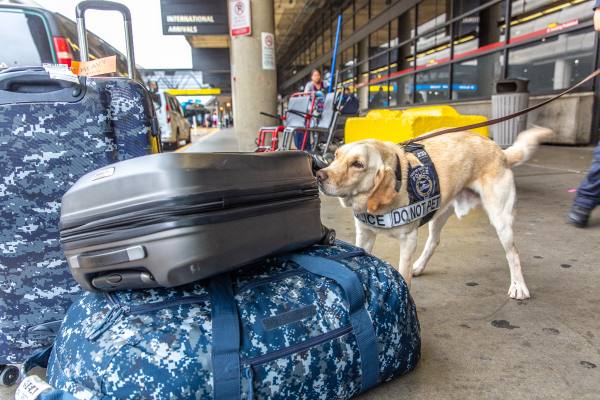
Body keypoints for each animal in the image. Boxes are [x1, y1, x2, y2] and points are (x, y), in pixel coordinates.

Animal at [316, 126, 556, 298]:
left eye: (358, 164)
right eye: (335, 156)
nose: (319, 175)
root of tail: (499, 150)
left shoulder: (408, 239)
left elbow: (403, 273)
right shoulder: (365, 235)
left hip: (501, 220)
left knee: (513, 253)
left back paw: (519, 286)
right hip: (439, 215)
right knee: (434, 242)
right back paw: (420, 266)